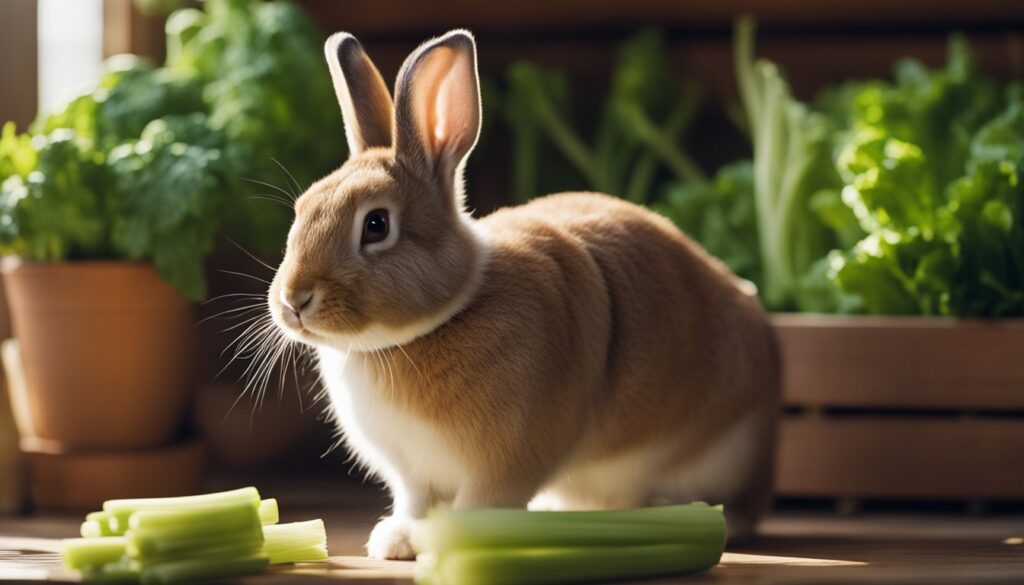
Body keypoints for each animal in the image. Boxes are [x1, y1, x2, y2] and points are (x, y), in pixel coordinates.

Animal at [267, 29, 780, 560]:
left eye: (376, 225)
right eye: (303, 208)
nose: (293, 301)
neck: (438, 321)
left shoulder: (506, 461)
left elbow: (481, 503)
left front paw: (449, 544)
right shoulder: (413, 473)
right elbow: (414, 502)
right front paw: (398, 541)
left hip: (724, 454)